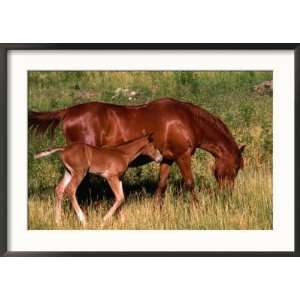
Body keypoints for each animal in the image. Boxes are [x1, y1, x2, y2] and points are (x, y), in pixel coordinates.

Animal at [29, 98, 245, 206]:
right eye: (235, 168)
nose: (228, 194)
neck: (187, 120)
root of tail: (68, 112)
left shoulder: (167, 159)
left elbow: (161, 186)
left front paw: (156, 210)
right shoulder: (182, 156)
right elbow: (190, 183)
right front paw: (196, 208)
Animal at [34, 135, 163, 226]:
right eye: (154, 146)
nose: (160, 158)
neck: (122, 154)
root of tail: (64, 148)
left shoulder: (119, 178)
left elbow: (122, 197)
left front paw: (123, 221)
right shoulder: (111, 177)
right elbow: (119, 197)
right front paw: (104, 220)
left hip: (68, 172)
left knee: (59, 189)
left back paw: (58, 221)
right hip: (79, 172)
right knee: (70, 189)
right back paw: (83, 220)